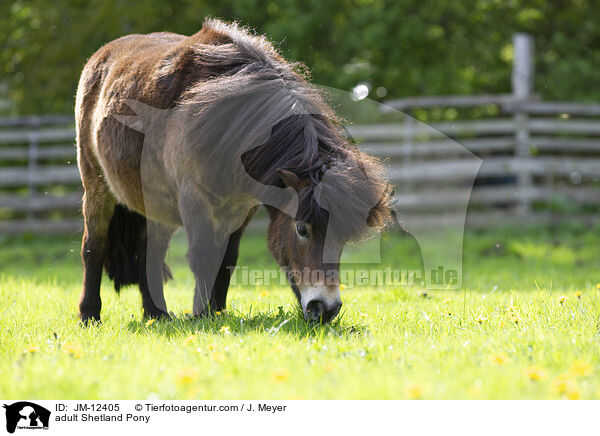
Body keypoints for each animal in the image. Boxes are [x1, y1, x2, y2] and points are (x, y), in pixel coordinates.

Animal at [75, 18, 392, 326]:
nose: (325, 309)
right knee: (93, 247)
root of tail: (101, 58)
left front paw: (217, 313)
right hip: (96, 187)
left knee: (149, 252)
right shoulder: (195, 199)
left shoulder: (242, 209)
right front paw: (201, 315)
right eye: (302, 229)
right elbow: (203, 256)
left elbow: (227, 259)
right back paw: (90, 315)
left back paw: (157, 315)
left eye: (342, 235)